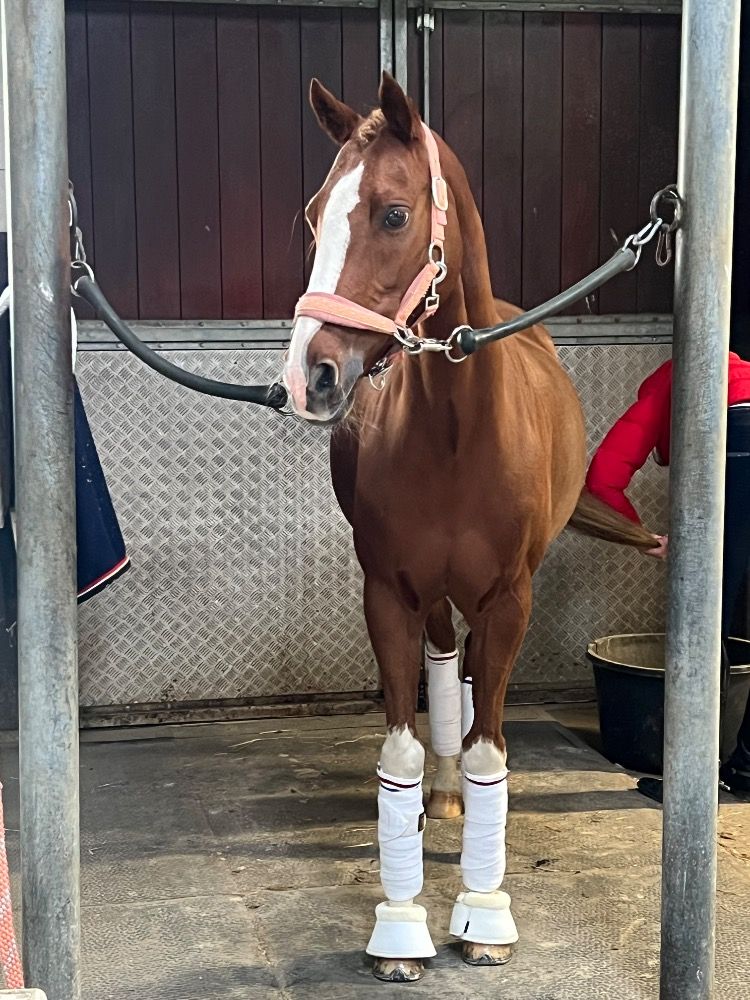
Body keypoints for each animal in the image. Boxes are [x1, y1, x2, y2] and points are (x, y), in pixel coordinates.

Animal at [283, 72, 654, 984]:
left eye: (391, 212)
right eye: (313, 215)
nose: (309, 376)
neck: (455, 431)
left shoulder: (509, 600)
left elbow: (494, 751)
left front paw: (484, 915)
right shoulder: (387, 595)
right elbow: (400, 753)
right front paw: (401, 926)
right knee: (446, 664)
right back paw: (442, 796)